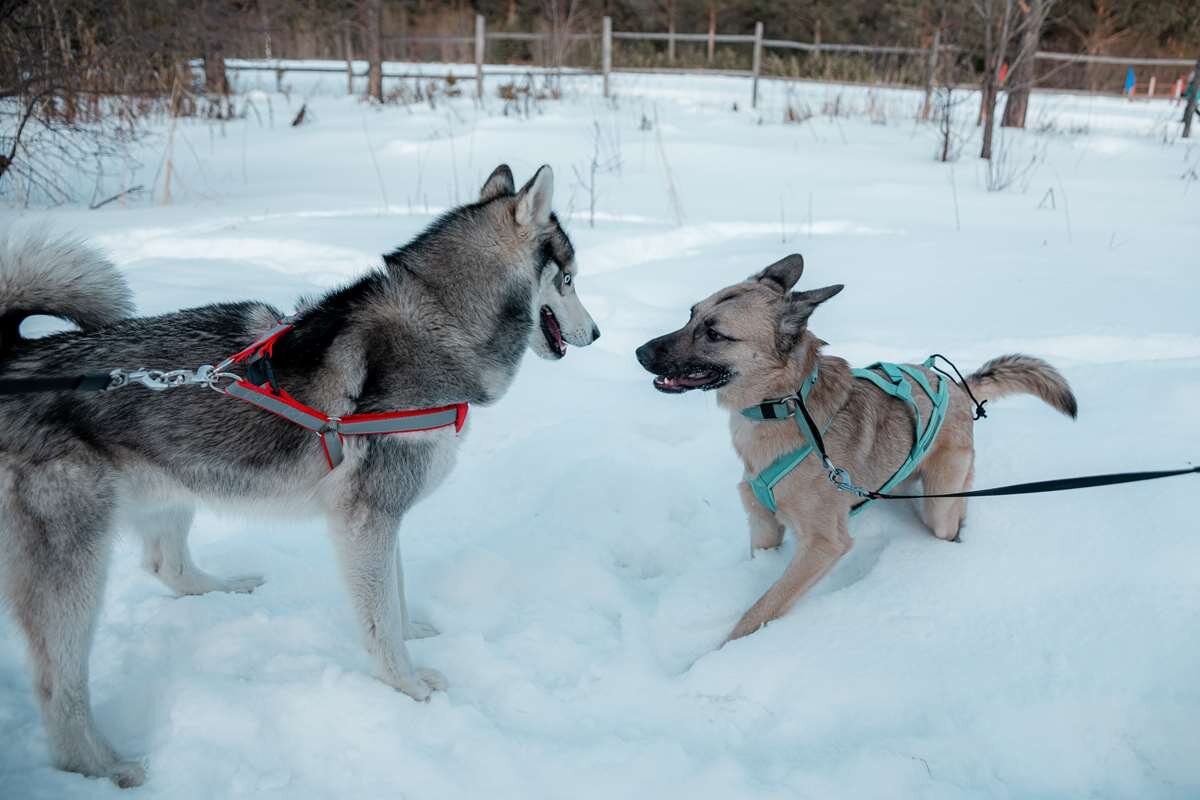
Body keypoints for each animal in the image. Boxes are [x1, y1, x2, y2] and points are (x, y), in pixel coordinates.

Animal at [0, 164, 600, 786]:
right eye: (570, 279)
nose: (599, 333)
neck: (441, 322)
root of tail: (14, 359)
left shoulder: (383, 519)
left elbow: (395, 595)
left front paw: (412, 632)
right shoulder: (366, 518)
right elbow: (380, 620)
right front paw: (409, 687)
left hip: (174, 487)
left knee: (169, 567)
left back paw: (224, 589)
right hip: (75, 562)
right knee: (58, 685)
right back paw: (105, 767)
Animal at [638, 256, 1080, 642]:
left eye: (714, 333)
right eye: (691, 314)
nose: (639, 352)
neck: (784, 407)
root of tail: (955, 385)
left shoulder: (823, 545)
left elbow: (758, 611)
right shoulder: (763, 527)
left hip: (939, 503)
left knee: (952, 512)